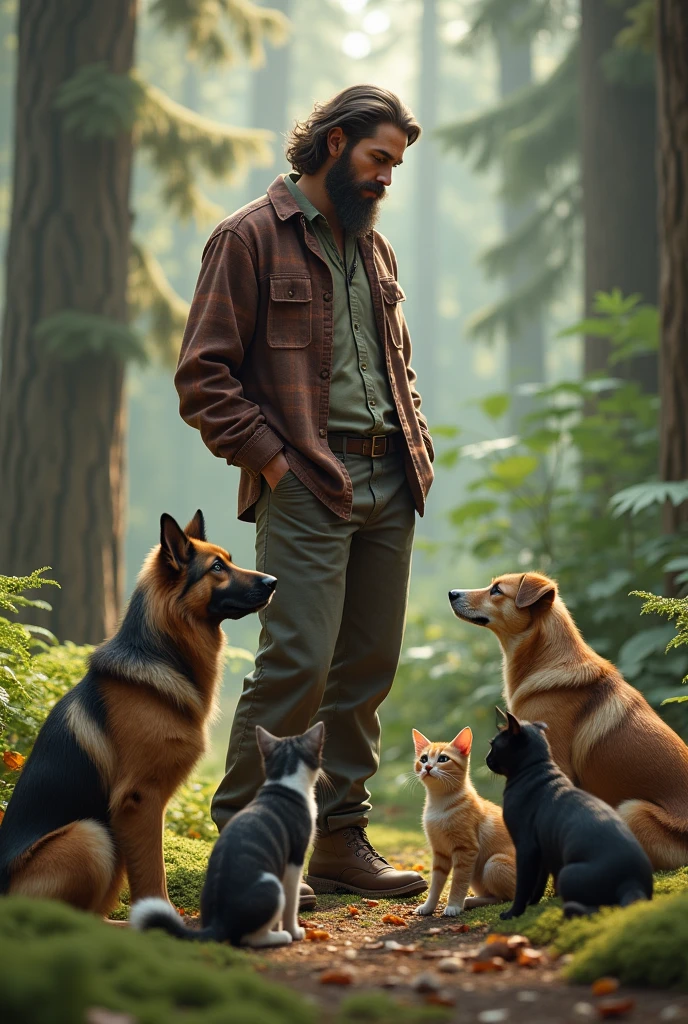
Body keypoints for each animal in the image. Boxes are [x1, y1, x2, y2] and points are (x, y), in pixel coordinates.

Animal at [130, 724, 323, 946]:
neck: (283, 781)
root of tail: (218, 924)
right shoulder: (294, 860)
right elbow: (291, 905)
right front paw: (295, 931)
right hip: (272, 885)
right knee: (250, 938)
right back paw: (280, 937)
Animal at [411, 724, 513, 917]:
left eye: (443, 758)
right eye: (424, 758)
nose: (427, 766)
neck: (439, 804)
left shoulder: (466, 850)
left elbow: (458, 881)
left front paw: (453, 905)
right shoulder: (440, 852)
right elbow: (436, 883)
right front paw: (428, 906)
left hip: (493, 863)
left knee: (506, 898)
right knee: (495, 897)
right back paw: (471, 901)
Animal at [487, 712, 651, 921]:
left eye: (493, 745)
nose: (487, 758)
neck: (534, 768)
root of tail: (630, 882)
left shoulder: (525, 848)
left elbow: (523, 886)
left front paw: (513, 913)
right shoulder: (541, 851)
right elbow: (538, 883)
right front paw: (532, 903)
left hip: (566, 873)